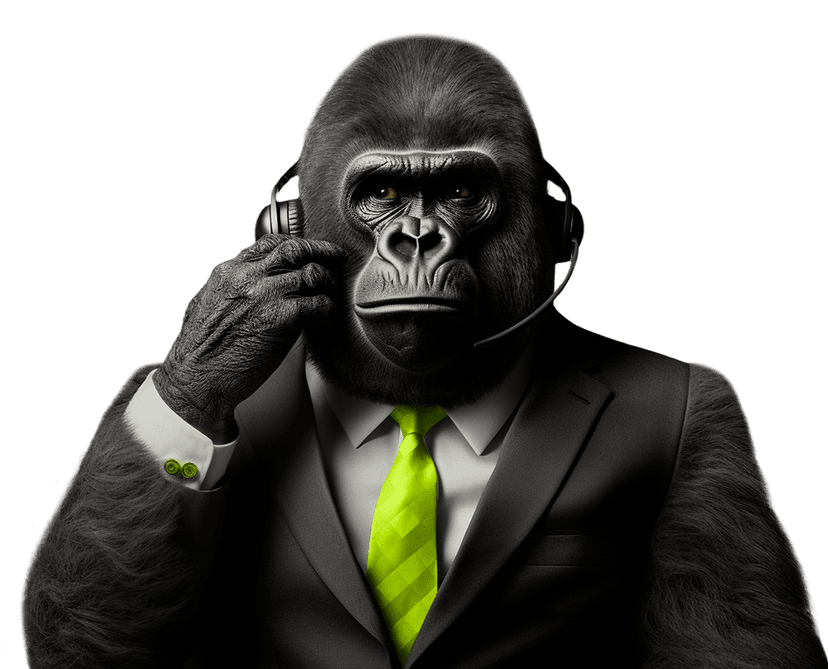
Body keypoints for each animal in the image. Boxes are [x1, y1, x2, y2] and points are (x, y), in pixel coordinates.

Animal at [22, 34, 826, 668]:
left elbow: (738, 639)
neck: (418, 408)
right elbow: (95, 636)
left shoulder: (713, 426)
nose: (415, 239)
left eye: (461, 190)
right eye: (382, 192)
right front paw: (230, 334)